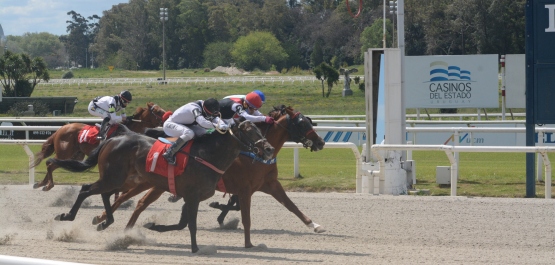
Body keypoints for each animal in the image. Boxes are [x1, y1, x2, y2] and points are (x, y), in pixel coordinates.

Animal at [30, 102, 165, 191]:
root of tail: (60, 129)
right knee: (50, 164)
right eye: (158, 111)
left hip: (75, 156)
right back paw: (48, 184)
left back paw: (42, 183)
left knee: (52, 164)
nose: (168, 116)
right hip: (64, 153)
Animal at [46, 117, 274, 252]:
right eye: (248, 130)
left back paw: (105, 221)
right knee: (86, 190)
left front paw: (153, 226)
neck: (207, 155)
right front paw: (195, 249)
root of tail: (112, 139)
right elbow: (191, 224)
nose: (269, 149)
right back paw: (67, 216)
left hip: (118, 178)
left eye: (259, 129)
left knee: (105, 194)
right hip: (114, 177)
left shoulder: (192, 196)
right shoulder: (192, 195)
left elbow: (183, 223)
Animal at [92, 104, 326, 248]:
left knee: (130, 199)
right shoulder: (243, 188)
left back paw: (113, 224)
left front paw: (315, 225)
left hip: (149, 182)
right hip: (146, 182)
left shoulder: (269, 184)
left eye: (309, 121)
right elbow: (241, 212)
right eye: (302, 123)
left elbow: (292, 206)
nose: (321, 142)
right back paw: (105, 220)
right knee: (129, 199)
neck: (251, 155)